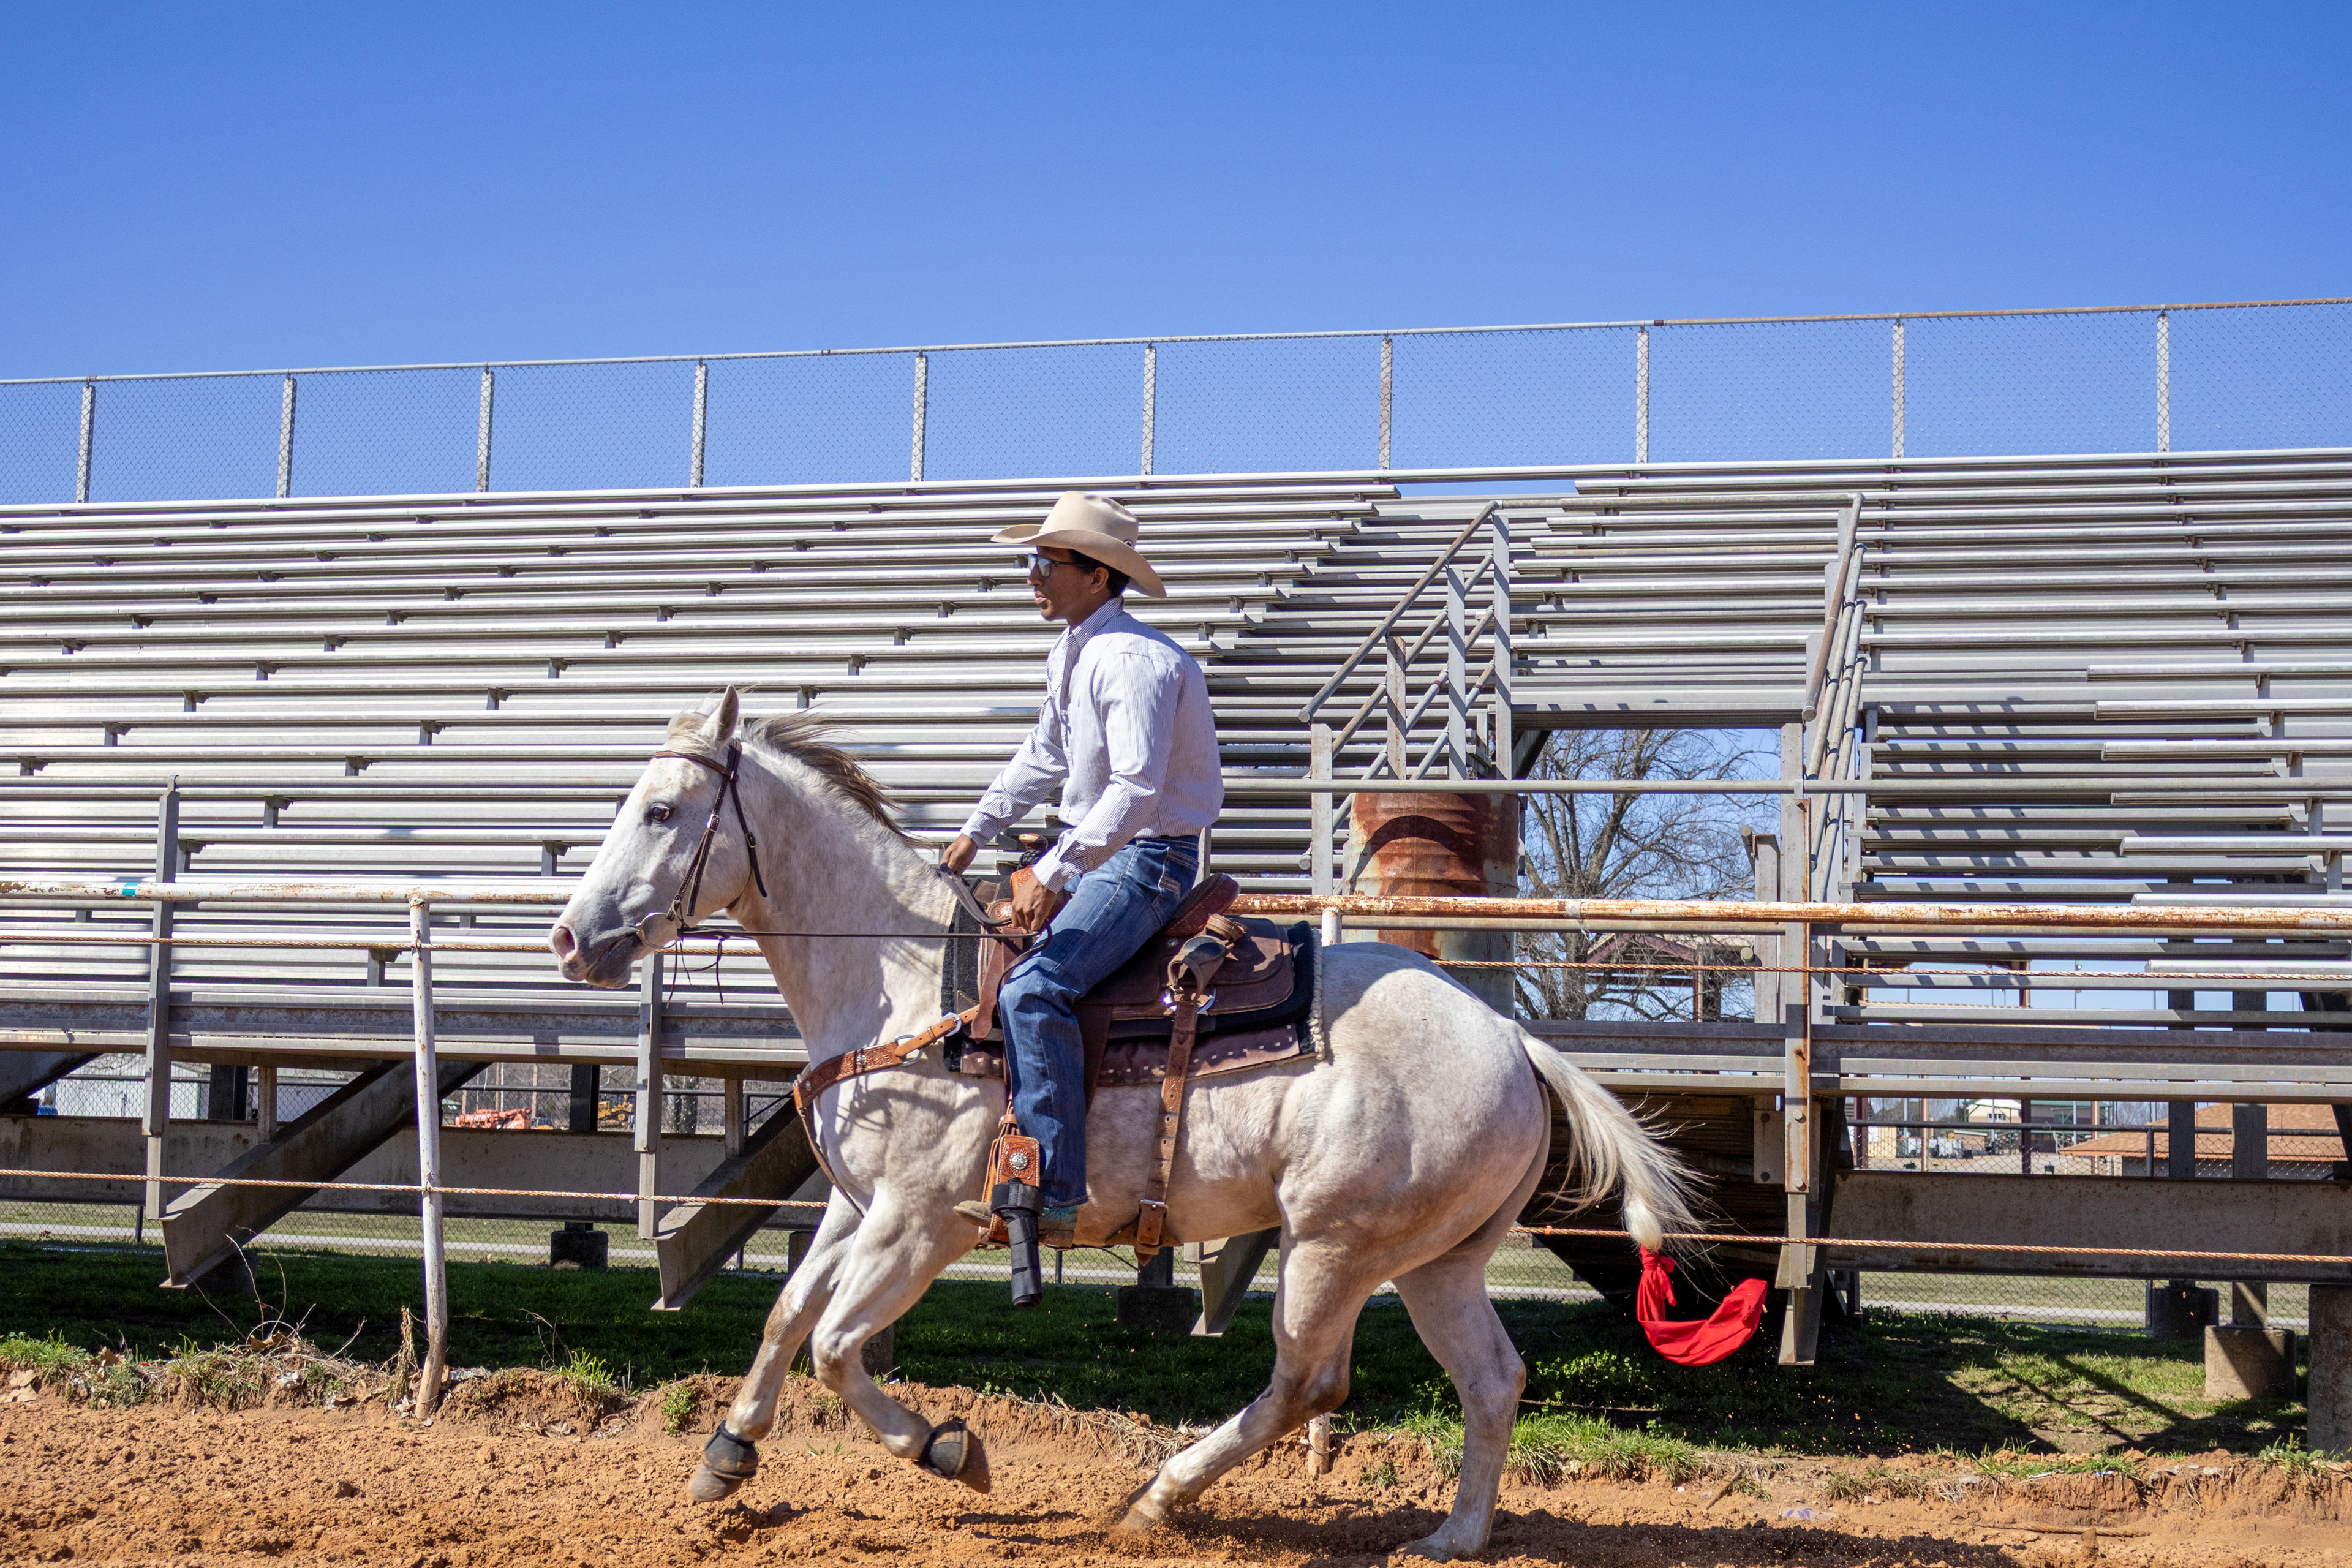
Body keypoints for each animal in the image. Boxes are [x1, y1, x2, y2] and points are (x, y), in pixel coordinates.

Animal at [549, 690, 1695, 1562]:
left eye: (662, 810)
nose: (570, 939)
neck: (903, 981)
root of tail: (1513, 1040)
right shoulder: (857, 1205)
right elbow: (788, 1315)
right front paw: (728, 1454)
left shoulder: (919, 1224)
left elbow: (834, 1345)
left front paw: (948, 1450)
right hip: (1436, 1260)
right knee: (1492, 1381)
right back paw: (1452, 1538)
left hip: (1333, 1244)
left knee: (1308, 1380)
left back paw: (1155, 1496)